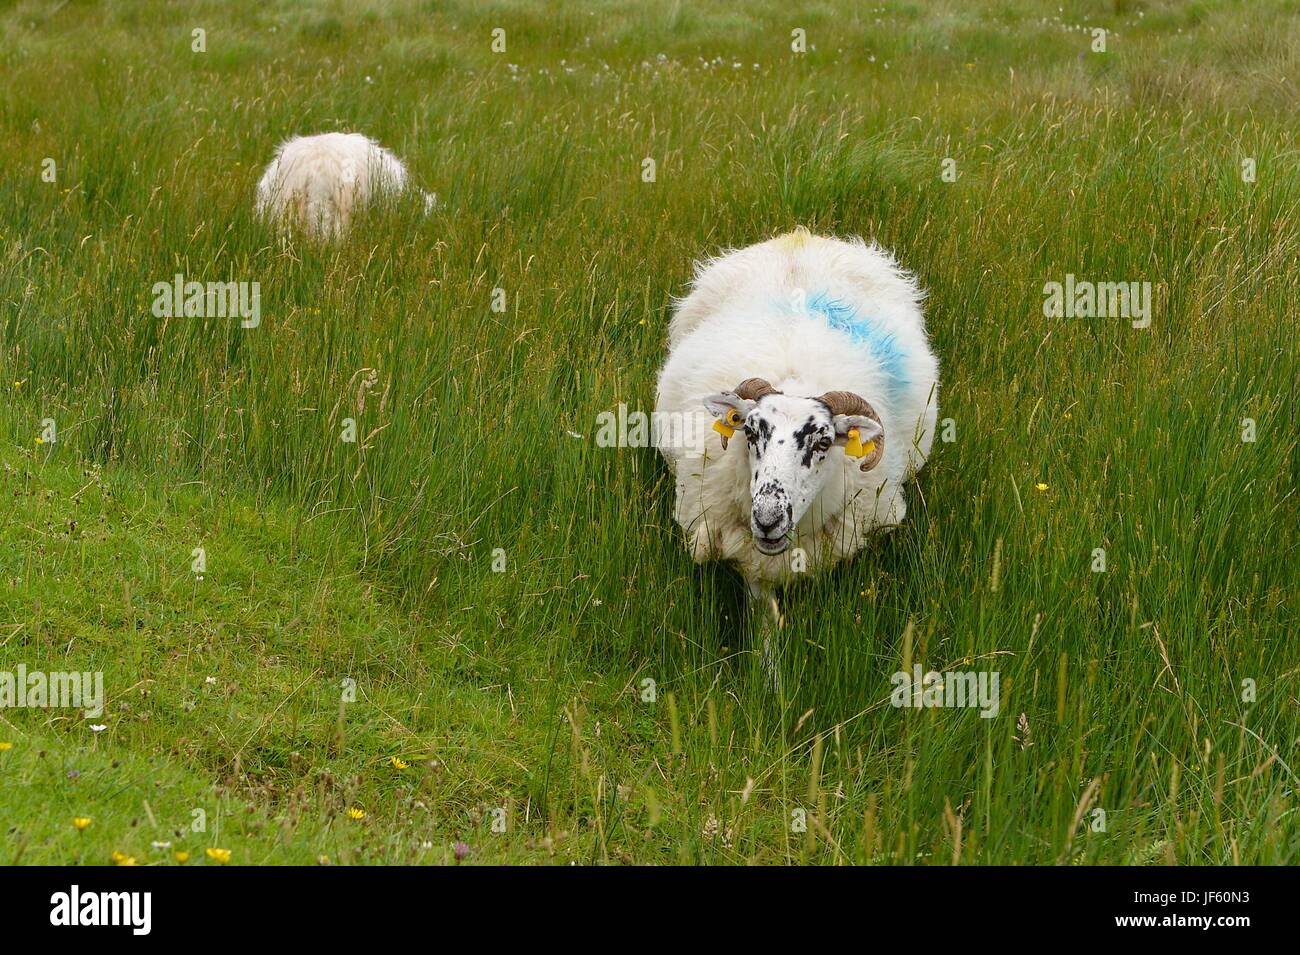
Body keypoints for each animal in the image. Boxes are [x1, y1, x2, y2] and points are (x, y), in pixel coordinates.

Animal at [655, 231, 941, 675]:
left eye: (823, 442)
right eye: (750, 432)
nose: (767, 519)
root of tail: (801, 235)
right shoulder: (749, 552)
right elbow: (764, 612)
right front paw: (768, 672)